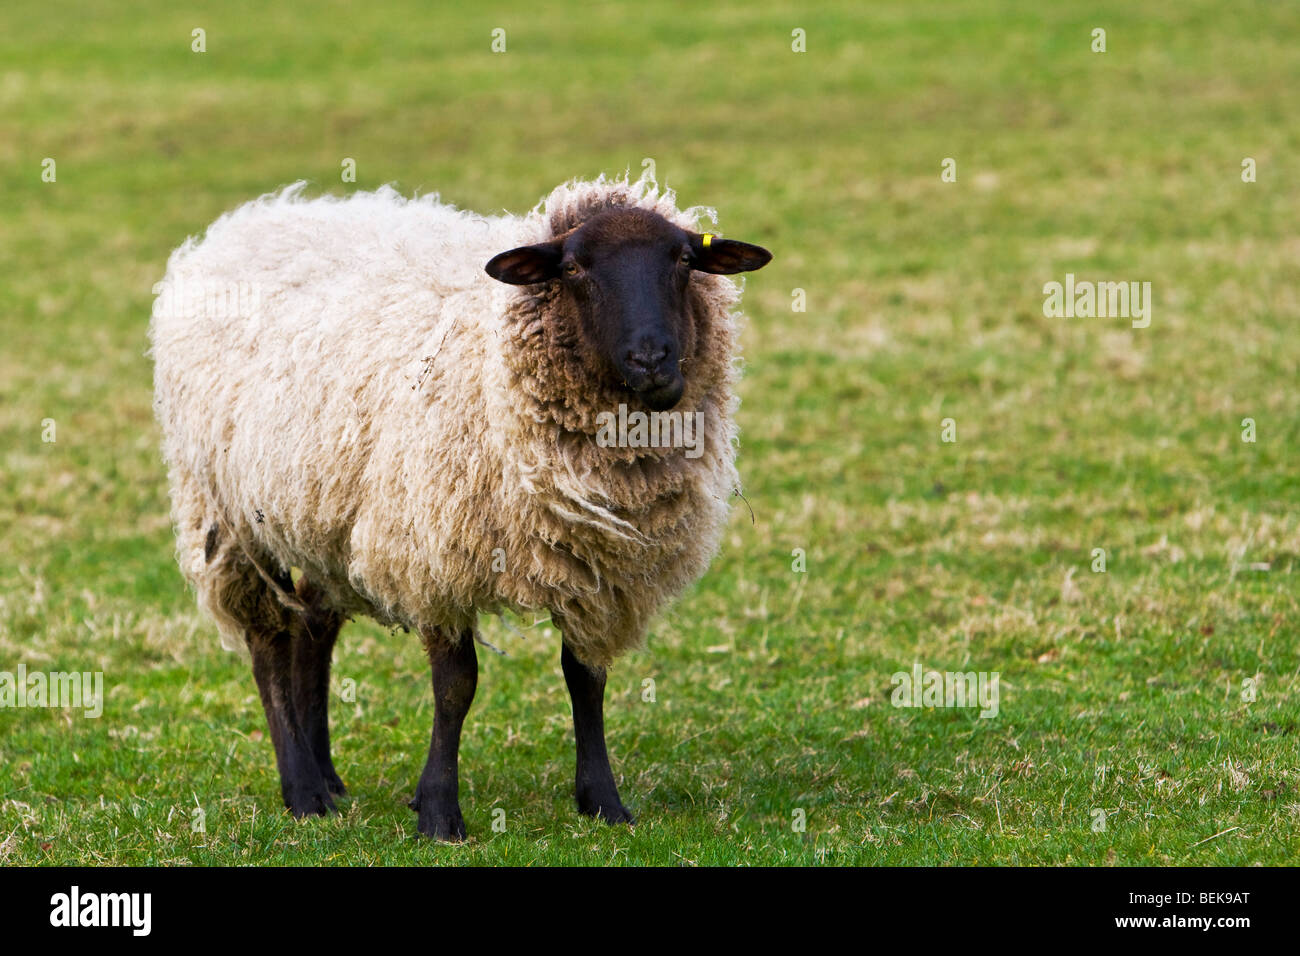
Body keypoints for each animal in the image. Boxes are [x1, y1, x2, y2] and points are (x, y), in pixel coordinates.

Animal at [149, 175, 769, 842]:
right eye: (574, 268)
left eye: (683, 260)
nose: (652, 360)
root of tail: (245, 222)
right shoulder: (436, 552)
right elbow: (456, 687)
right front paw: (439, 811)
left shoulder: (595, 569)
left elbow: (585, 678)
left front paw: (603, 801)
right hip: (228, 511)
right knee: (267, 640)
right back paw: (303, 790)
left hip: (319, 508)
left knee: (314, 628)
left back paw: (328, 776)